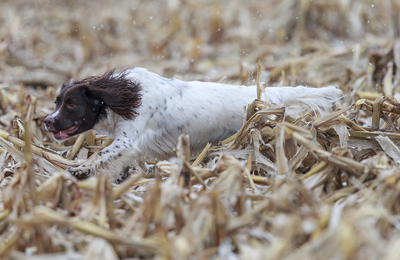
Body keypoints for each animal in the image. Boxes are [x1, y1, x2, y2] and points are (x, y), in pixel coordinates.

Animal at [44, 67, 344, 181]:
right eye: (57, 101)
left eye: (71, 104)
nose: (46, 121)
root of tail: (270, 97)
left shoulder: (128, 139)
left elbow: (101, 155)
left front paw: (79, 170)